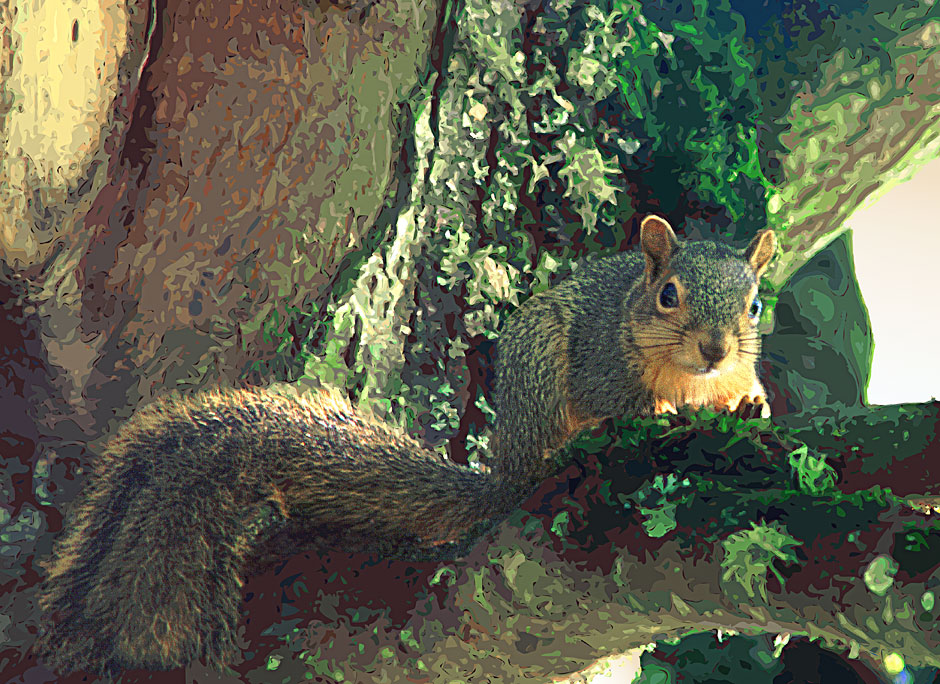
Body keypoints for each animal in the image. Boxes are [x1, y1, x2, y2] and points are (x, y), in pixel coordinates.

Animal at [36, 216, 776, 676]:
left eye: (755, 307)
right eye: (667, 295)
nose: (715, 349)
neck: (685, 374)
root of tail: (501, 470)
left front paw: (749, 404)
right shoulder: (601, 357)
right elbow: (614, 399)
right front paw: (651, 413)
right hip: (538, 364)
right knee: (538, 460)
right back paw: (559, 457)